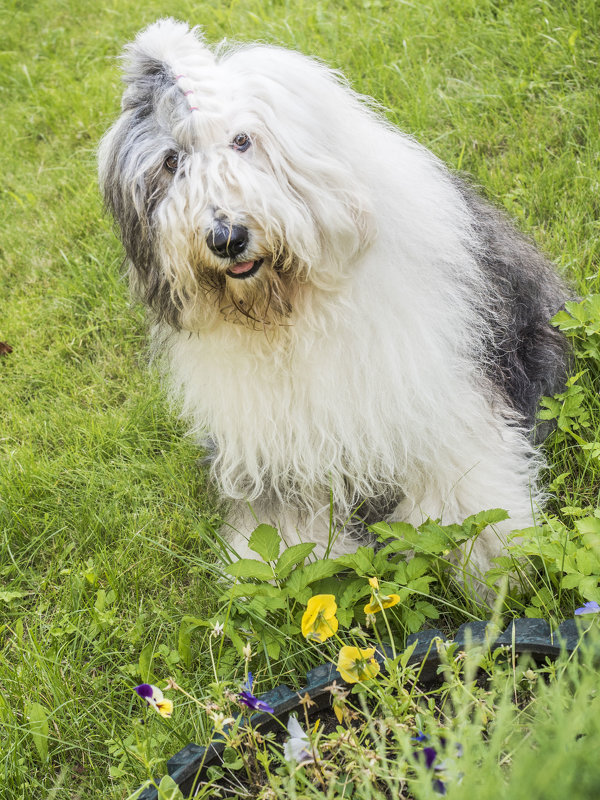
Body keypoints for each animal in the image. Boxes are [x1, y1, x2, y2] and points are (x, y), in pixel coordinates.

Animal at [98, 18, 568, 580]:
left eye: (242, 140)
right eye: (172, 162)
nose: (226, 237)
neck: (291, 313)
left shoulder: (433, 391)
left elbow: (462, 472)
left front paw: (488, 552)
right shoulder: (273, 437)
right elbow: (282, 513)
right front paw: (279, 558)